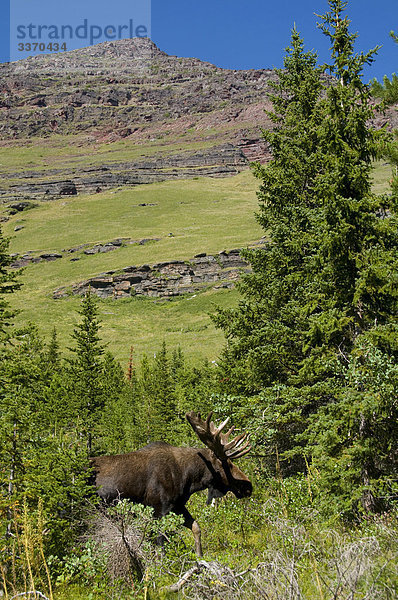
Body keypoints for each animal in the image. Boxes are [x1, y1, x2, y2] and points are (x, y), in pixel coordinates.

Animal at [91, 410, 252, 556]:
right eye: (227, 464)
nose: (249, 486)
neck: (189, 479)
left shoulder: (177, 506)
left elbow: (196, 527)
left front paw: (200, 557)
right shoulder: (159, 508)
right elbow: (160, 544)